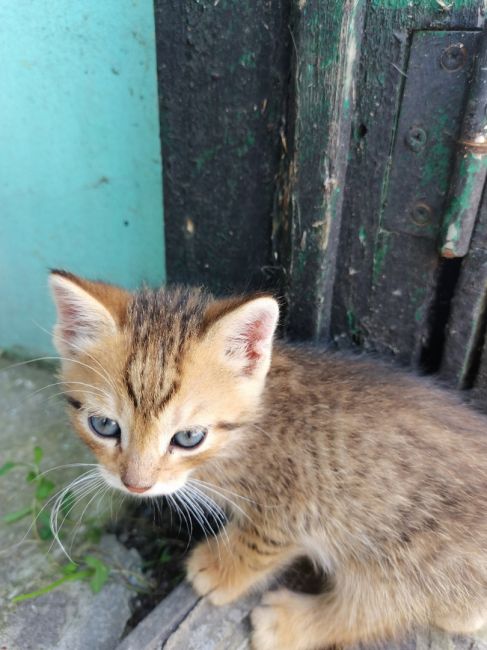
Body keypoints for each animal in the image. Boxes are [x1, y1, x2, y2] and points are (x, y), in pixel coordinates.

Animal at [49, 270, 487, 648]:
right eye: (104, 425)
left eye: (189, 437)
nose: (136, 485)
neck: (248, 430)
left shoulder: (297, 504)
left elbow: (257, 542)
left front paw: (222, 568)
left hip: (405, 555)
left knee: (382, 607)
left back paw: (290, 623)